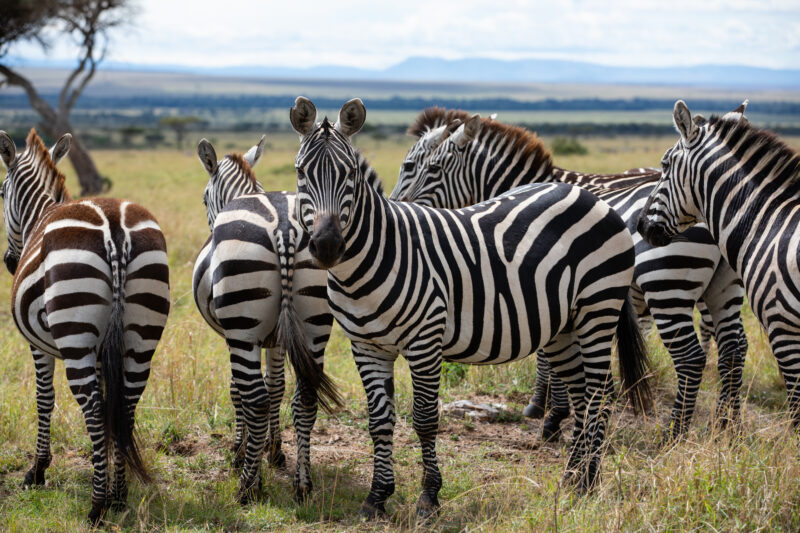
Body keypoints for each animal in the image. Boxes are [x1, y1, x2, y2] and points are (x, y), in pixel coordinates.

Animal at [0, 129, 170, 524]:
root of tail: (115, 229)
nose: (10, 262)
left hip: (74, 331)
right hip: (142, 332)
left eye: (1, 193)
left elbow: (44, 398)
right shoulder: (103, 349)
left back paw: (96, 507)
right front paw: (107, 477)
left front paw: (37, 471)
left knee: (92, 408)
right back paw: (119, 496)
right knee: (125, 405)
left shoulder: (39, 345)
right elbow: (111, 403)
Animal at [191, 136, 384, 503]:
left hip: (243, 327)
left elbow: (241, 390)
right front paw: (275, 450)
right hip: (315, 318)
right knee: (305, 396)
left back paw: (248, 487)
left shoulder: (234, 335)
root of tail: (282, 227)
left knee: (254, 398)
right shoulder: (278, 339)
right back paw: (303, 484)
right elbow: (276, 387)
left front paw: (240, 453)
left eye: (205, 198)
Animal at [289, 96, 651, 517]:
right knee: (581, 393)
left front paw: (428, 497)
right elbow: (379, 421)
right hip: (564, 325)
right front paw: (377, 497)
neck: (369, 262)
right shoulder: (366, 346)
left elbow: (425, 419)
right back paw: (572, 477)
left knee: (599, 394)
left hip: (598, 308)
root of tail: (589, 197)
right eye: (300, 172)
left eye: (349, 174)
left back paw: (589, 482)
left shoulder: (425, 341)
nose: (328, 246)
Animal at [391, 109, 747, 440]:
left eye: (424, 168)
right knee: (734, 347)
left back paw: (676, 433)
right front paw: (555, 409)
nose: (398, 208)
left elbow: (546, 357)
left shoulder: (542, 283)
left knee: (691, 357)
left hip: (667, 285)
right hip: (722, 288)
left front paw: (546, 409)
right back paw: (727, 425)